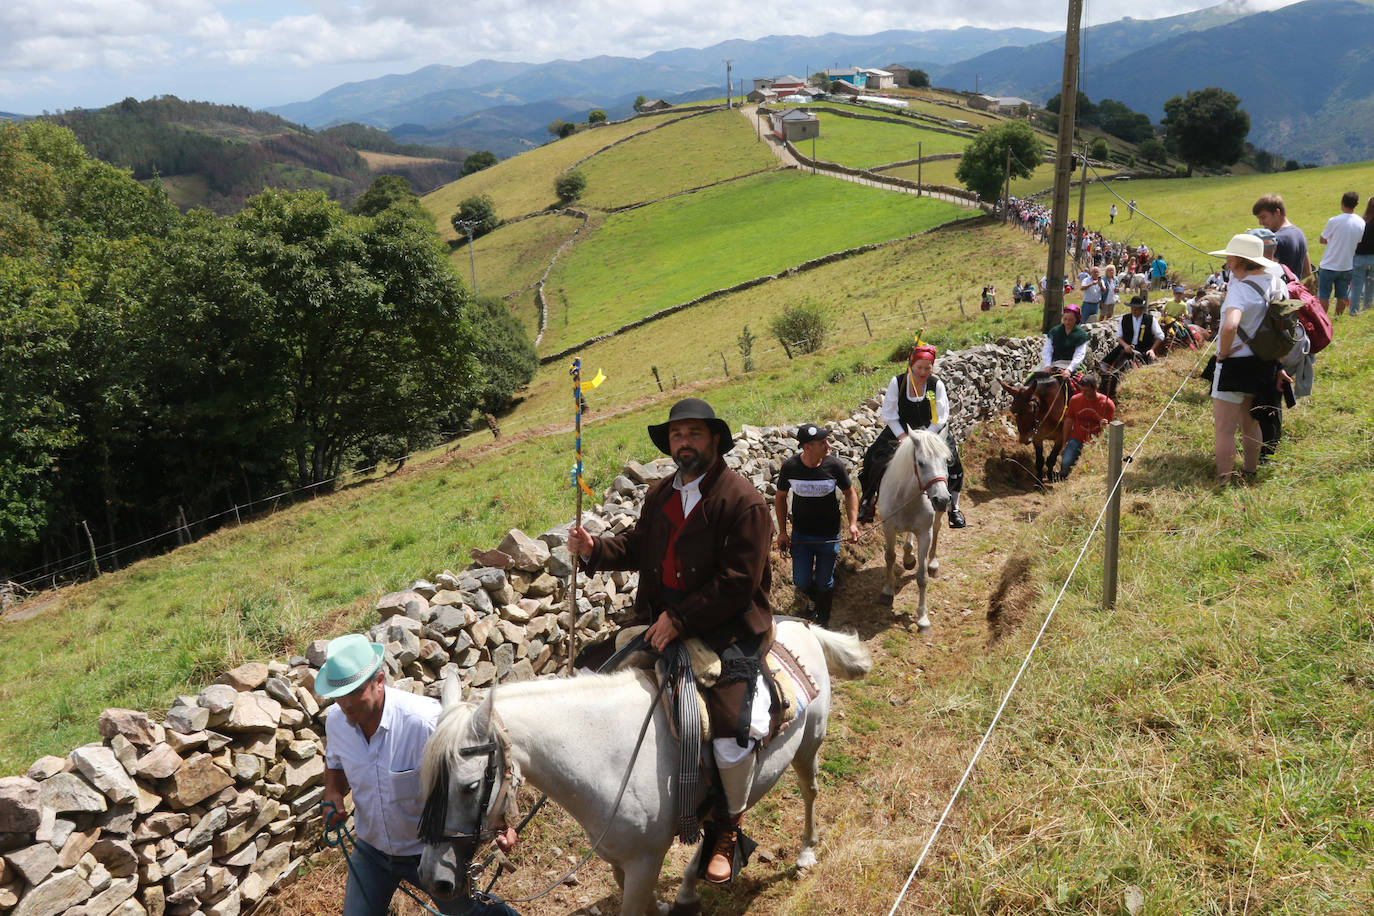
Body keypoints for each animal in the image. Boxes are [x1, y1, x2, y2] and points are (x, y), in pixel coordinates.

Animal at [414, 623, 868, 916]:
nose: (434, 880)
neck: (604, 753)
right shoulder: (621, 861)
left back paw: (806, 852)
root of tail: (802, 627)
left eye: (470, 786)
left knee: (809, 792)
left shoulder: (644, 862)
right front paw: (670, 903)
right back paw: (688, 889)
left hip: (809, 745)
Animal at [873, 428, 950, 631]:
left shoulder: (925, 533)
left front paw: (922, 618)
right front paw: (887, 591)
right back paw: (908, 557)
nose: (942, 499)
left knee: (937, 528)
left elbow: (922, 577)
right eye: (921, 463)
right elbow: (890, 557)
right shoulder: (888, 528)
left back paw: (932, 563)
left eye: (947, 460)